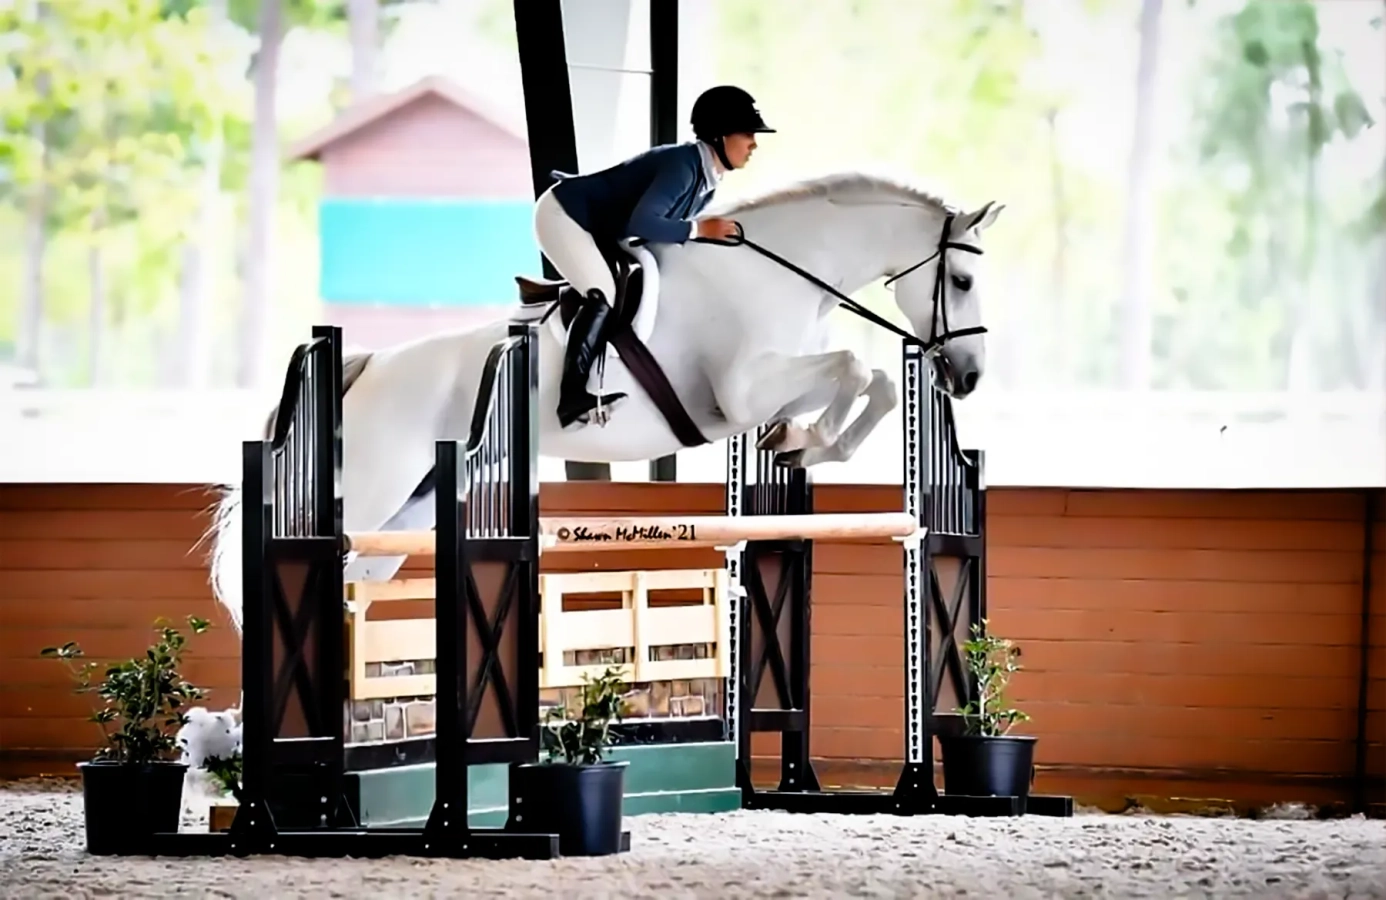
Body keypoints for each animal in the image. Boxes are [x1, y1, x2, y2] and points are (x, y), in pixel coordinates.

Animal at [205, 170, 1005, 630]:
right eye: (963, 282)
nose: (966, 377)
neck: (783, 271)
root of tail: (366, 365)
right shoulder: (744, 392)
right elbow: (856, 369)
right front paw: (811, 441)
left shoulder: (769, 385)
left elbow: (867, 379)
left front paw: (802, 443)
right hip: (376, 488)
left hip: (414, 506)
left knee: (359, 584)